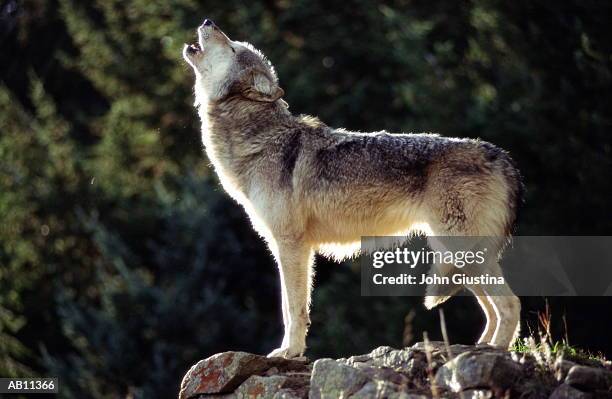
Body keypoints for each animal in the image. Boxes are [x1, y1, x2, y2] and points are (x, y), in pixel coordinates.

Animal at [180, 18, 520, 360]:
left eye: (232, 47)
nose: (208, 21)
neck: (261, 138)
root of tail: (503, 156)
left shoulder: (291, 245)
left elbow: (293, 308)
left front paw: (290, 352)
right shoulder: (286, 246)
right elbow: (292, 307)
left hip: (461, 251)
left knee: (510, 303)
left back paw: (496, 351)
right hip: (455, 256)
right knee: (492, 309)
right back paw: (481, 347)